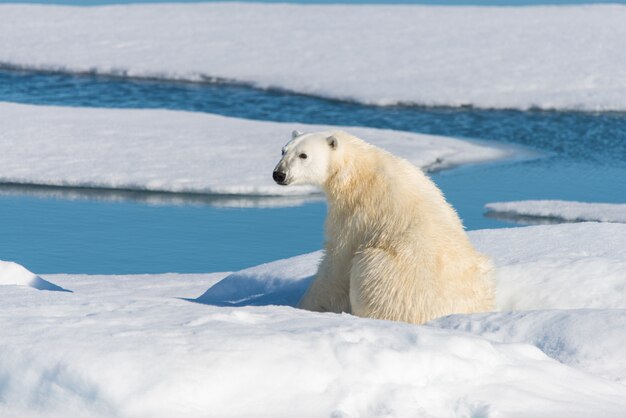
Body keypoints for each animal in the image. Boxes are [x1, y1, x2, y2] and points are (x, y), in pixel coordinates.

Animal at [272, 130, 492, 324]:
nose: (279, 174)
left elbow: (337, 261)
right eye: (283, 151)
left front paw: (302, 306)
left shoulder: (356, 212)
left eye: (303, 155)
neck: (357, 169)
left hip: (387, 277)